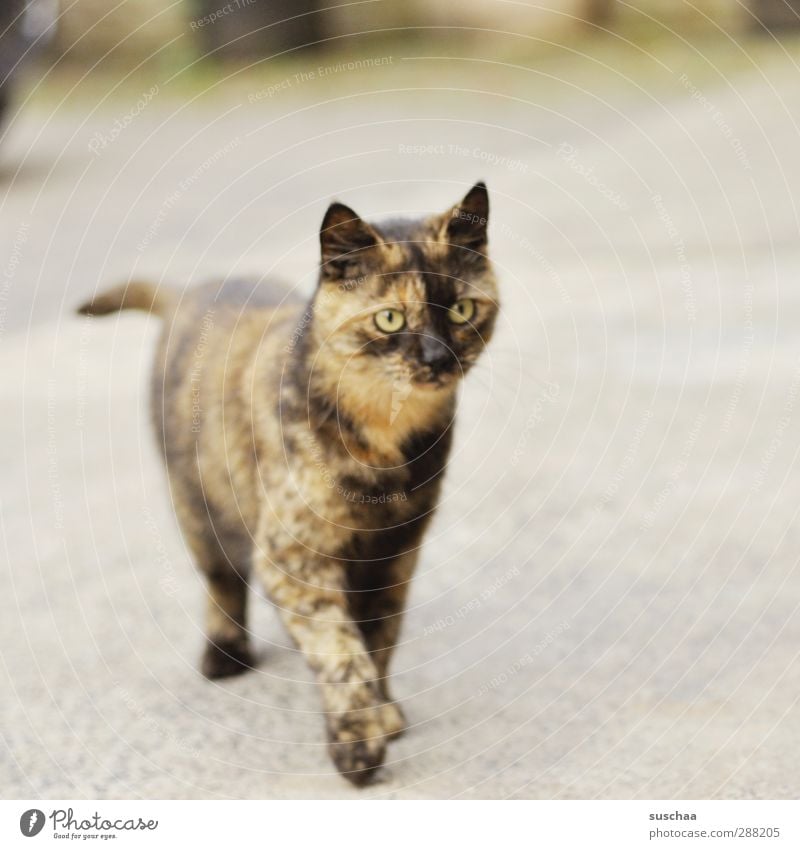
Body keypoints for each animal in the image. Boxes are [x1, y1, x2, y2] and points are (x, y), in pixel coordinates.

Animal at [78, 182, 496, 784]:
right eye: (390, 319)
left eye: (463, 310)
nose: (438, 358)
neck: (390, 441)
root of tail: (190, 289)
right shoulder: (292, 559)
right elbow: (341, 649)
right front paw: (358, 744)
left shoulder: (396, 553)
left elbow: (378, 640)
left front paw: (384, 713)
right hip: (199, 507)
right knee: (221, 580)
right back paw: (224, 654)